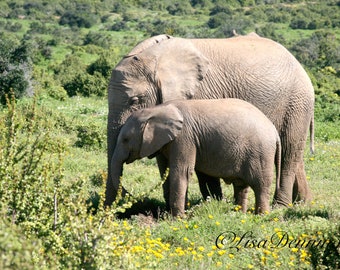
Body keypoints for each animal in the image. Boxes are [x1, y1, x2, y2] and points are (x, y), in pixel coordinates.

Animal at [107, 98, 280, 216]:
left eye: (125, 139)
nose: (140, 200)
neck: (155, 110)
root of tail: (274, 132)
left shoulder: (185, 137)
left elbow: (181, 171)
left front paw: (177, 218)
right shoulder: (167, 142)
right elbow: (167, 172)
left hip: (261, 152)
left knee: (261, 185)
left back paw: (261, 216)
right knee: (241, 186)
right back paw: (238, 214)